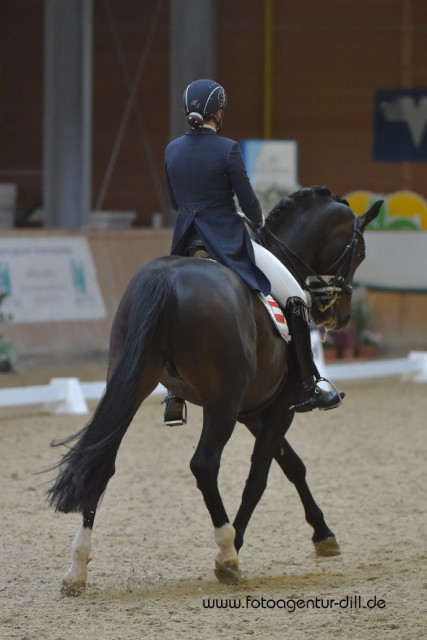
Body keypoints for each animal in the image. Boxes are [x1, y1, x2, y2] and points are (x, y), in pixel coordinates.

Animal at [46, 186, 382, 596]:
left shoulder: (253, 411)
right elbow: (260, 477)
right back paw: (226, 552)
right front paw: (236, 544)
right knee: (204, 465)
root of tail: (168, 278)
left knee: (101, 461)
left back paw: (77, 569)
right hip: (221, 404)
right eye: (359, 251)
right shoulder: (278, 408)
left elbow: (292, 466)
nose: (340, 317)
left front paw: (323, 534)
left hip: (133, 384)